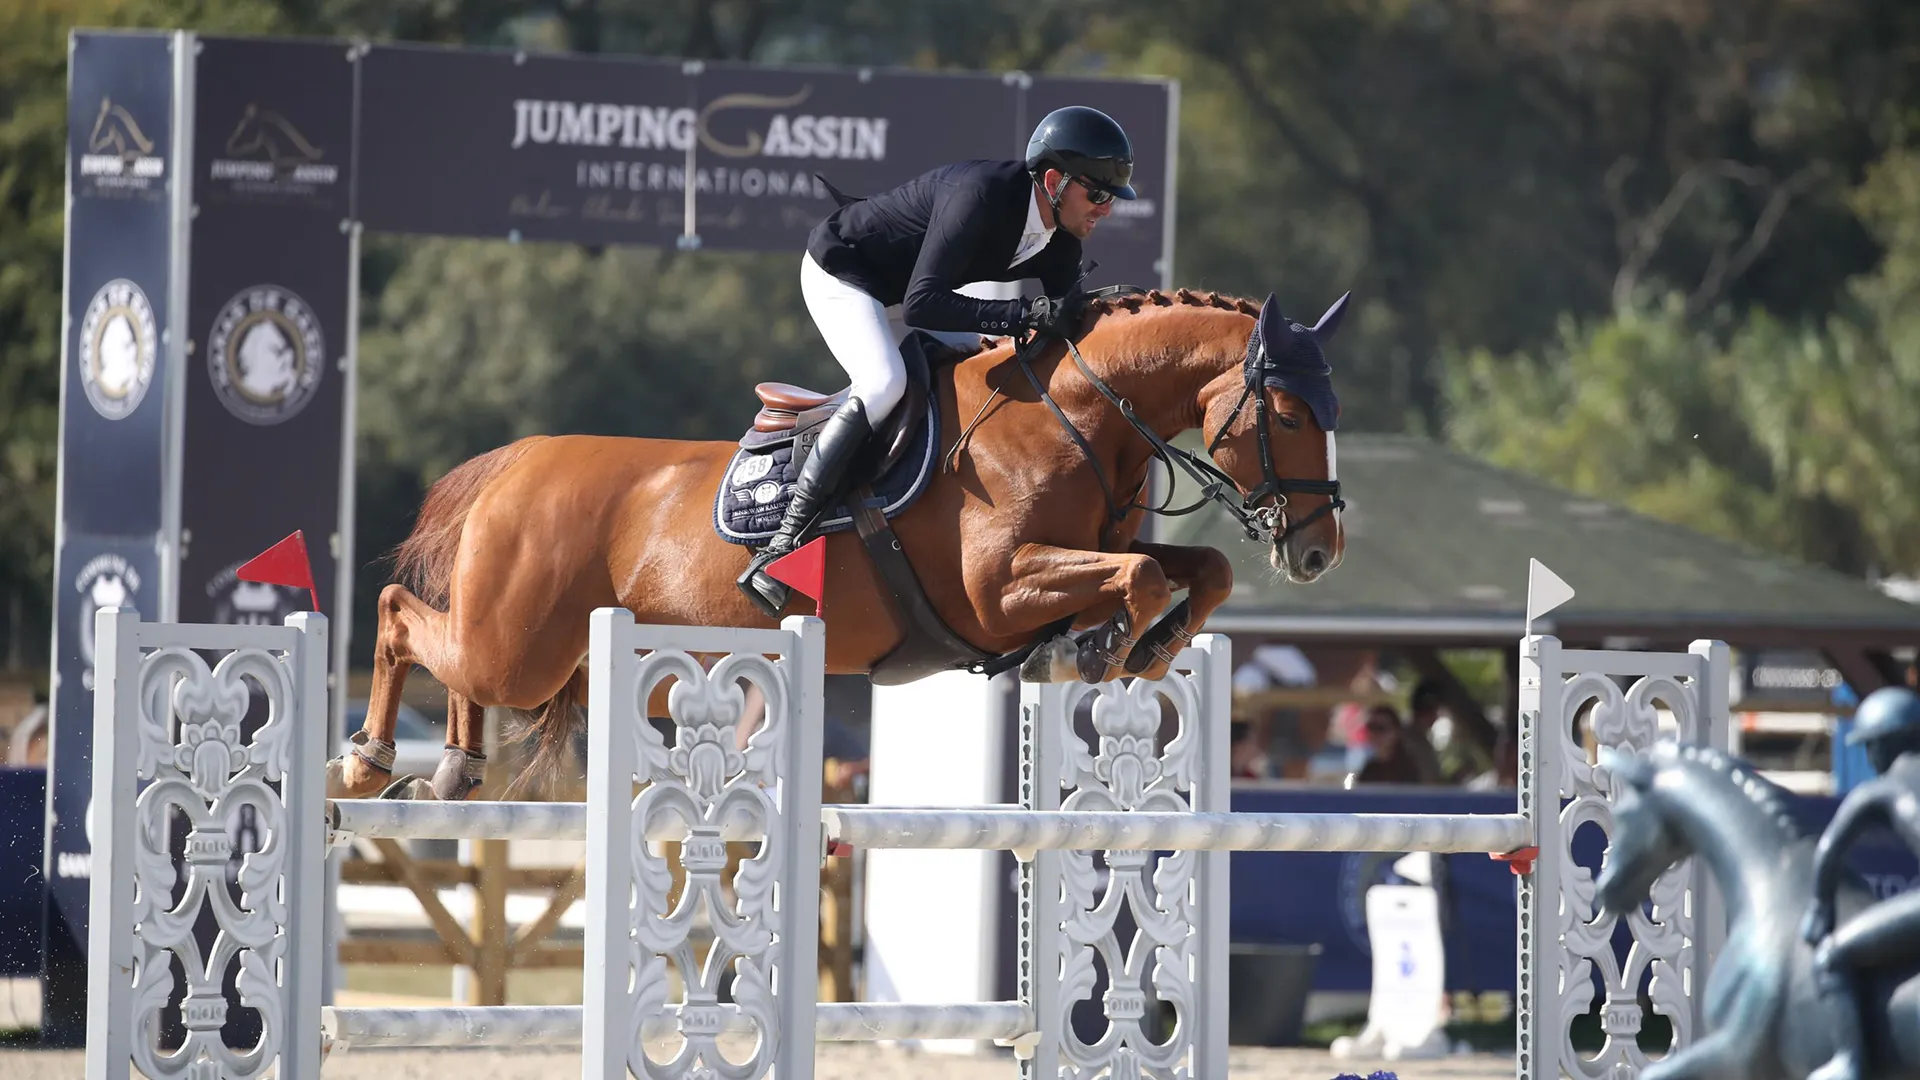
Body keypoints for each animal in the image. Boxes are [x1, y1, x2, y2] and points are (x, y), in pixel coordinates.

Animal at [328, 286, 1349, 802]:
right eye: (1291, 413)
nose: (1319, 552)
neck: (1077, 413)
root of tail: (521, 459)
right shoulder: (997, 593)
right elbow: (1137, 574)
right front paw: (1099, 647)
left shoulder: (1076, 561)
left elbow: (1199, 570)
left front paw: (1148, 648)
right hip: (523, 647)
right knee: (402, 616)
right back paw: (373, 758)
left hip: (536, 646)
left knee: (449, 655)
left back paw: (451, 768)